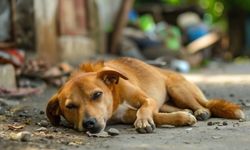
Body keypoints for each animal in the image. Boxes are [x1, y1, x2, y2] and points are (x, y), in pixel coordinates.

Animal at [46, 57, 245, 134]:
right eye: (70, 106)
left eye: (97, 94)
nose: (89, 123)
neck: (115, 97)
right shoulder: (126, 115)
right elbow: (157, 116)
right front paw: (182, 118)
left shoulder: (147, 99)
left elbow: (145, 109)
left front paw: (143, 121)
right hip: (167, 101)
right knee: (172, 108)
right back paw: (188, 112)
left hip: (177, 88)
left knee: (204, 105)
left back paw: (200, 111)